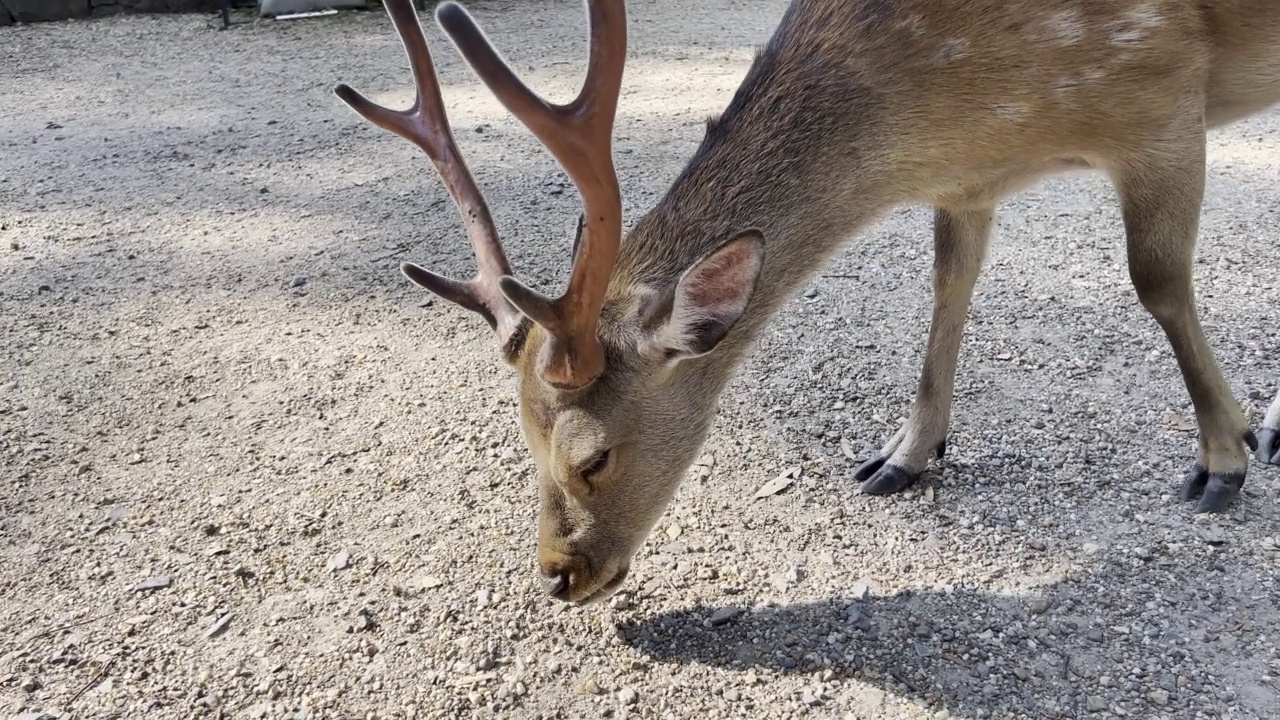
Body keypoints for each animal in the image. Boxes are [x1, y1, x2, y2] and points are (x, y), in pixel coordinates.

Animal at [332, 0, 1280, 599]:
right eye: (523, 440)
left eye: (592, 456)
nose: (556, 576)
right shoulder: (968, 180)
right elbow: (948, 289)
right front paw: (903, 454)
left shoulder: (1160, 103)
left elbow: (1157, 282)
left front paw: (1220, 457)